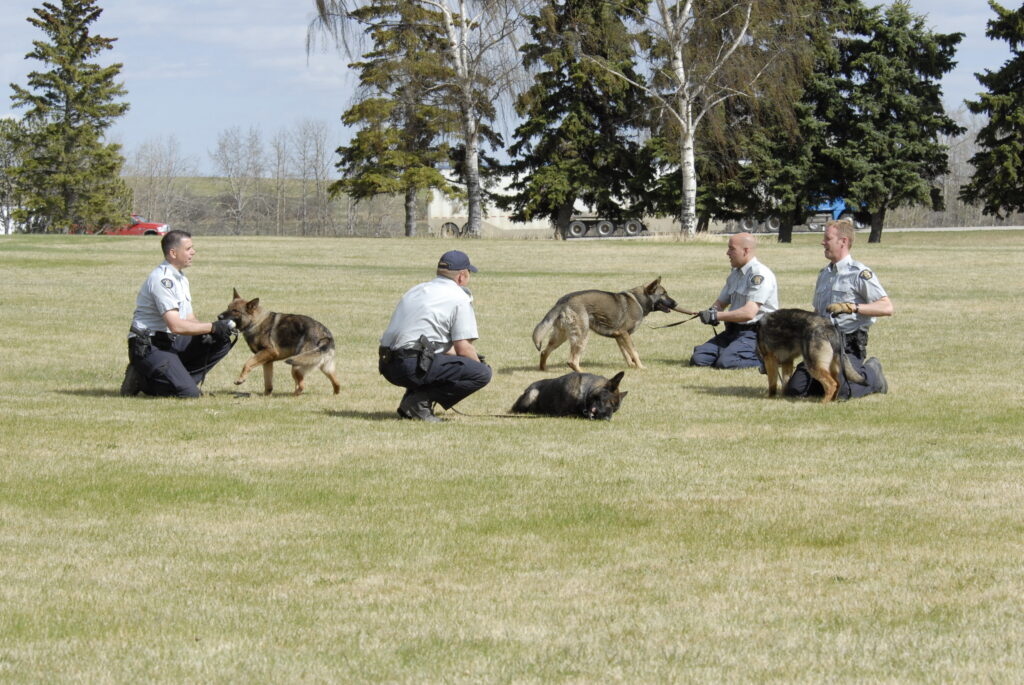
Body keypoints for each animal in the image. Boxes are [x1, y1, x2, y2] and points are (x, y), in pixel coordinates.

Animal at [528, 278, 679, 374]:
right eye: (664, 294)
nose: (676, 303)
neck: (639, 300)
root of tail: (562, 302)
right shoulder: (625, 334)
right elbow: (634, 352)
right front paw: (640, 367)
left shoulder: (619, 336)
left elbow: (626, 353)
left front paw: (631, 366)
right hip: (582, 336)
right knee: (572, 360)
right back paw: (583, 372)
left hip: (560, 337)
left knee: (544, 352)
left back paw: (543, 369)